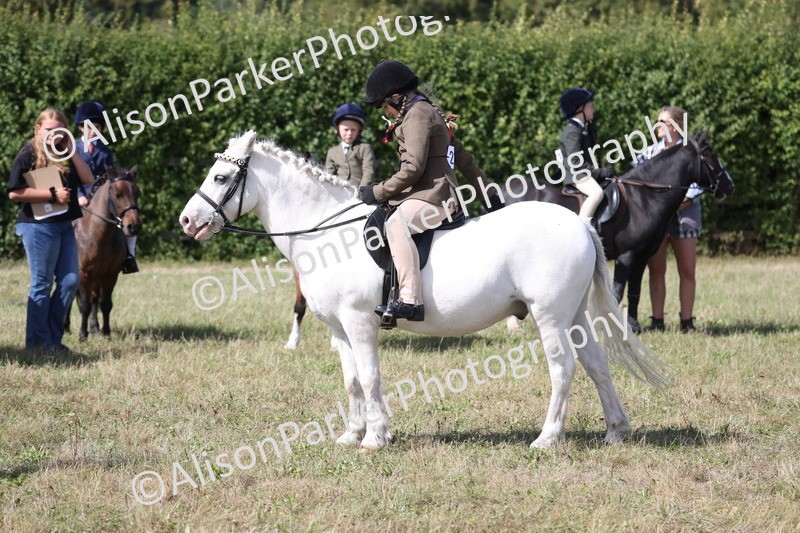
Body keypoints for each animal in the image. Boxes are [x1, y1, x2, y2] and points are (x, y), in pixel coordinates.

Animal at [67, 166, 142, 340]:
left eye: (137, 193)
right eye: (117, 194)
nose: (133, 227)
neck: (99, 234)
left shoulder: (110, 274)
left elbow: (106, 304)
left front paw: (106, 332)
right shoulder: (83, 274)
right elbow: (84, 305)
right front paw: (82, 335)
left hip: (97, 277)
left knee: (95, 299)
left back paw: (94, 327)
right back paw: (66, 327)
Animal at [179, 131, 669, 450]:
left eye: (221, 177)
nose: (187, 221)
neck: (326, 234)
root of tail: (581, 222)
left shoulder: (359, 323)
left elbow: (370, 377)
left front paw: (375, 439)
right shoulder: (339, 329)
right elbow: (351, 380)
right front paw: (351, 434)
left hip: (549, 316)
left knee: (563, 369)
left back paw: (546, 439)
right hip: (575, 316)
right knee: (597, 364)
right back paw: (616, 431)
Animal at [502, 132, 734, 333]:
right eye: (711, 156)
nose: (730, 187)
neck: (643, 198)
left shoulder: (641, 257)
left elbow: (634, 293)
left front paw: (634, 326)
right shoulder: (626, 256)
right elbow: (617, 293)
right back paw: (515, 326)